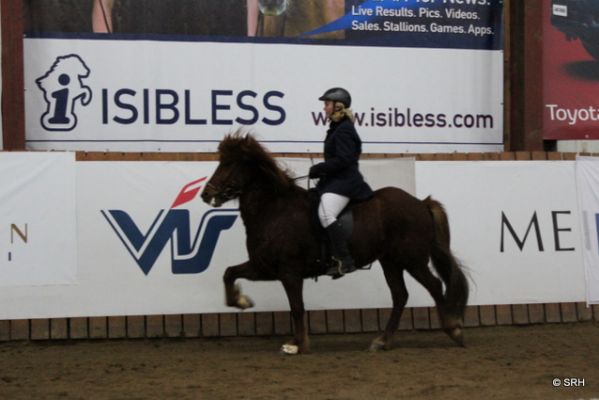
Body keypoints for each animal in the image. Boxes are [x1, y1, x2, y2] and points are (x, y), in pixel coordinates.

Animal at [201, 133, 469, 354]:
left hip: (412, 260)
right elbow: (229, 273)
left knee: (434, 285)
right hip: (391, 262)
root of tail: (420, 202)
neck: (274, 210)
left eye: (228, 163)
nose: (206, 194)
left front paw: (297, 344)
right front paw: (240, 301)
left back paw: (453, 329)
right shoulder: (264, 266)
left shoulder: (289, 271)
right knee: (400, 295)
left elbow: (296, 307)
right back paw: (382, 341)